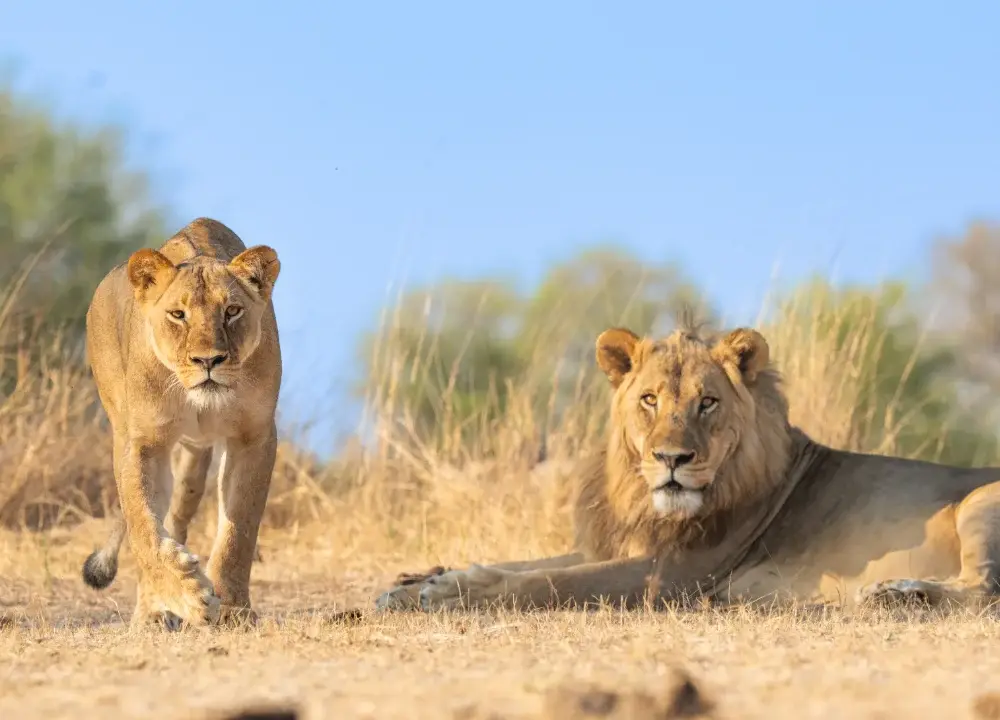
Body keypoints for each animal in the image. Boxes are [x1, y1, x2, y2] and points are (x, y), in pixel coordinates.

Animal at [80, 217, 281, 630]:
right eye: (178, 314)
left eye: (232, 311)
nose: (209, 360)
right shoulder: (143, 443)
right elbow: (142, 525)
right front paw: (187, 595)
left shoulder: (254, 437)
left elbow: (238, 530)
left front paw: (234, 609)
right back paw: (153, 611)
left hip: (193, 462)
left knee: (176, 515)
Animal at [376, 324, 1000, 612]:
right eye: (650, 399)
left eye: (708, 403)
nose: (672, 459)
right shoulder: (617, 543)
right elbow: (531, 563)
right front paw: (423, 582)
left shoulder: (674, 574)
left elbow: (550, 581)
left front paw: (445, 596)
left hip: (979, 502)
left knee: (986, 589)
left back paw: (898, 592)